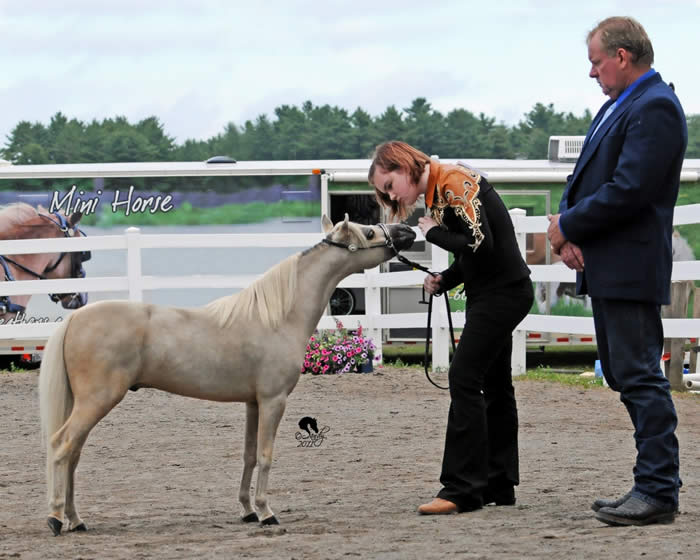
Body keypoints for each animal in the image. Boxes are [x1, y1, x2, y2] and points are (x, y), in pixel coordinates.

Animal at [38, 214, 416, 532]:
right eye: (369, 232)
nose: (406, 231)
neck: (278, 317)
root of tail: (76, 318)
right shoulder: (273, 400)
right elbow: (265, 455)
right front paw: (266, 512)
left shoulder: (253, 403)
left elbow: (249, 455)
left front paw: (248, 510)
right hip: (97, 401)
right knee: (61, 446)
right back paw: (56, 519)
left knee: (73, 455)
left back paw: (75, 519)